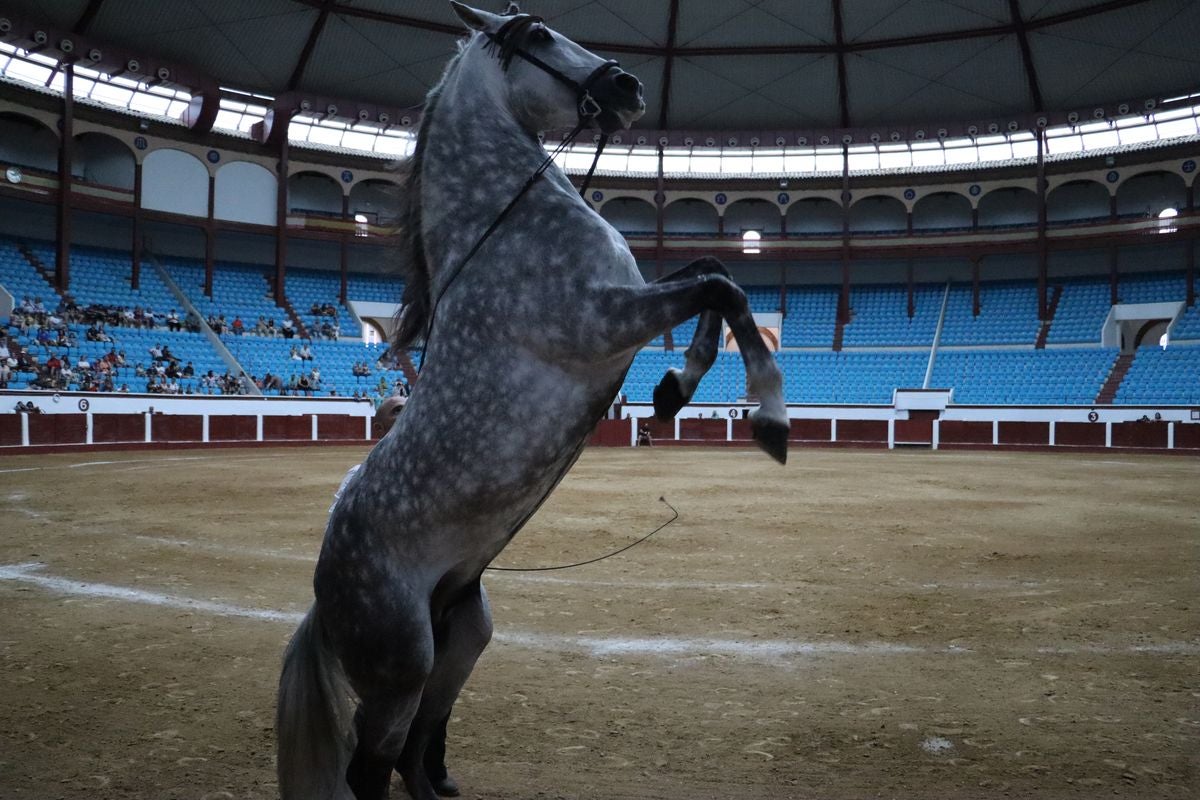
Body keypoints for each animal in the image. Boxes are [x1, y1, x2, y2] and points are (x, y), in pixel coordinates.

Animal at [275, 4, 789, 799]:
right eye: (541, 35)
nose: (627, 86)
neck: (508, 232)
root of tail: (324, 595)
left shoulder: (628, 303)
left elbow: (715, 272)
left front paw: (674, 392)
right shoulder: (602, 321)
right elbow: (719, 285)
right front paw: (767, 419)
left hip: (463, 633)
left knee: (419, 743)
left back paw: (442, 784)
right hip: (401, 664)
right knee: (372, 763)